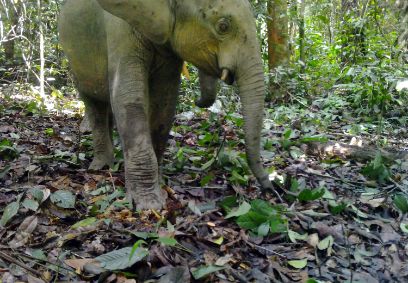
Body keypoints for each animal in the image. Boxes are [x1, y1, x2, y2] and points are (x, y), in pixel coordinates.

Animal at [58, 0, 274, 211]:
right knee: (94, 105)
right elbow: (128, 97)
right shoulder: (119, 32)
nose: (270, 189)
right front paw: (149, 205)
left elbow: (164, 101)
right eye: (223, 26)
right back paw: (102, 166)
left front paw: (160, 183)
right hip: (74, 59)